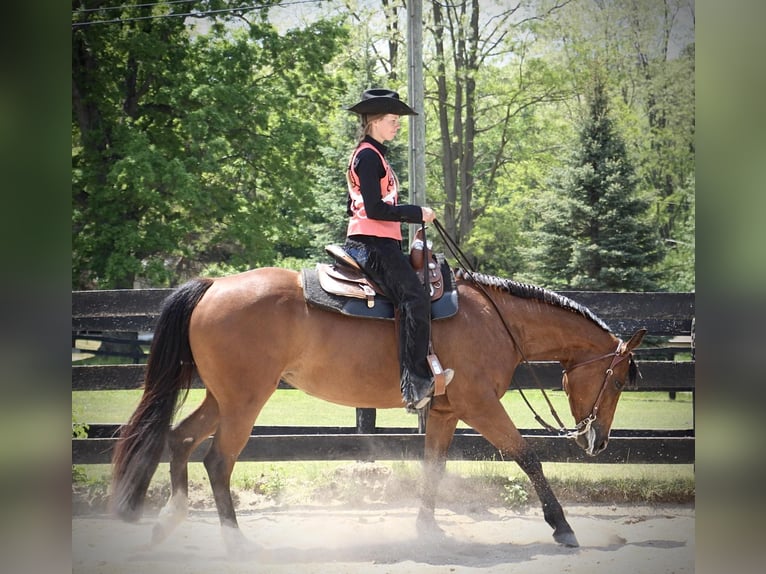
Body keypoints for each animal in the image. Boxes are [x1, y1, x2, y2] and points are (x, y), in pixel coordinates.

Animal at [111, 266, 644, 560]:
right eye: (619, 380)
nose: (598, 442)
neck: (497, 320)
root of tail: (214, 285)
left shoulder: (446, 412)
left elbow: (433, 467)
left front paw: (427, 530)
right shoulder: (481, 405)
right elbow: (527, 456)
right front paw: (563, 527)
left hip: (222, 397)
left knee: (180, 438)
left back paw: (170, 518)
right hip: (245, 400)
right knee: (217, 461)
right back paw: (237, 545)